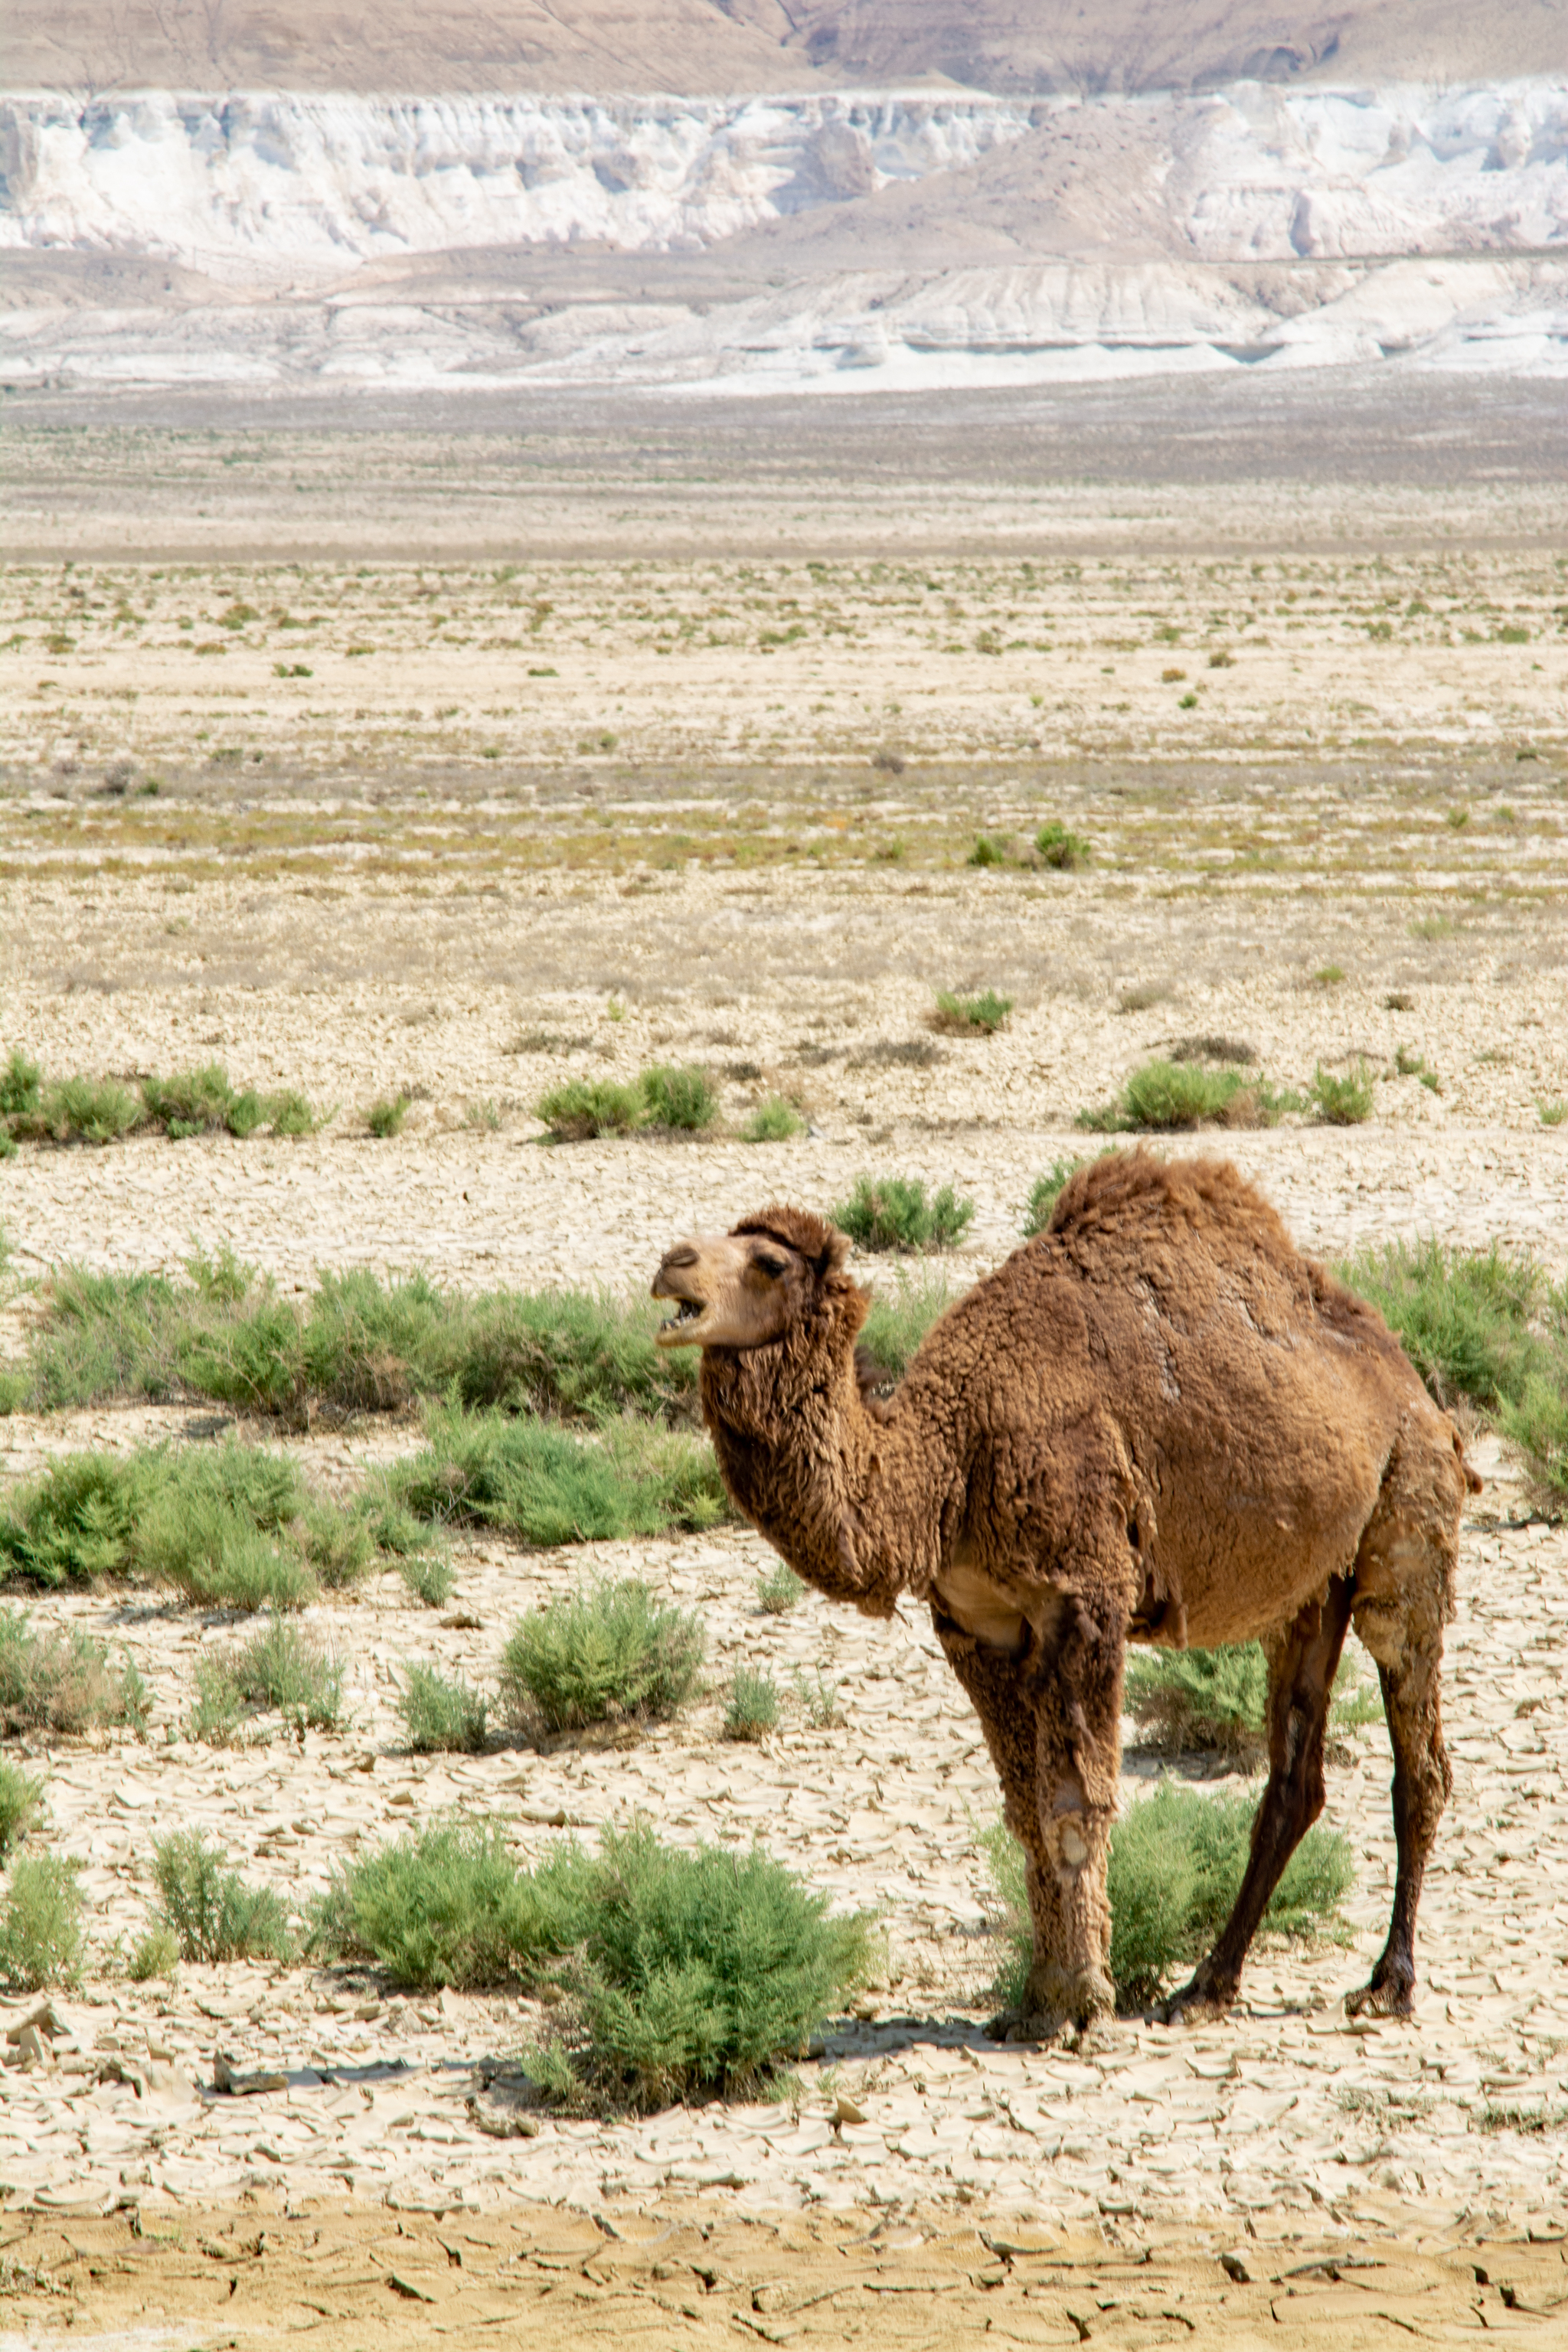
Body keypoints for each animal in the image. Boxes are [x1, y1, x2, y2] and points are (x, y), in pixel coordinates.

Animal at [653, 1157, 1485, 2041]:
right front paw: (1036, 2001)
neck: (948, 1460)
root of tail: (1415, 1388)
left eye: (767, 1263)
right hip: (1308, 1593)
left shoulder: (1085, 1595)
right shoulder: (978, 1625)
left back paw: (1387, 1983)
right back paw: (1205, 1987)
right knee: (1295, 1777)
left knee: (1418, 1753)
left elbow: (1076, 1805)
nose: (671, 1264)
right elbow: (1026, 1812)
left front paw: (1081, 2003)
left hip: (1406, 1517)